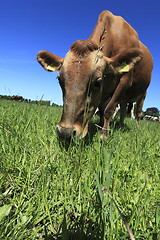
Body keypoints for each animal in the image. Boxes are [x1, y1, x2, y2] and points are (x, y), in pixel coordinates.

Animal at [36, 10, 152, 140]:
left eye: (97, 82)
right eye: (60, 80)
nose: (65, 132)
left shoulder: (125, 81)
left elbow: (109, 109)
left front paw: (103, 135)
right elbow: (101, 109)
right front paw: (100, 126)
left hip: (142, 94)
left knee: (138, 113)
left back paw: (137, 129)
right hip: (125, 98)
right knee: (123, 110)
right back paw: (120, 125)